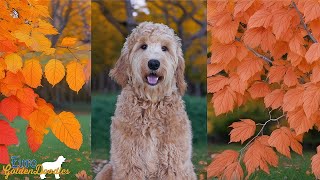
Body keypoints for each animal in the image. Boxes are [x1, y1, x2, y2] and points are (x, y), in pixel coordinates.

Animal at [95, 21, 195, 179]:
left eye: (164, 48)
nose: (153, 63)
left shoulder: (173, 165)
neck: (151, 106)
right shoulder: (129, 163)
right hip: (107, 169)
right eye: (143, 46)